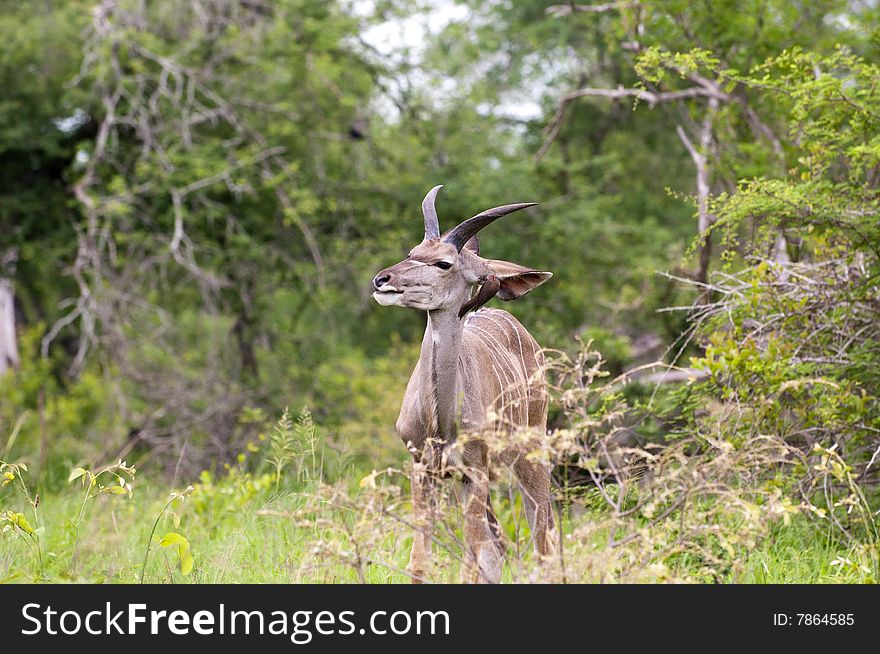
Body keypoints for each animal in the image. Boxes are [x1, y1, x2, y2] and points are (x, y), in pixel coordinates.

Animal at [372, 187, 556, 588]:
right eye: (413, 251)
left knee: (542, 542)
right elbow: (421, 563)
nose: (382, 280)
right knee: (499, 549)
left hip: (530, 456)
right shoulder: (423, 468)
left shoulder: (474, 471)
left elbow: (471, 562)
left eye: (444, 263)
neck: (440, 424)